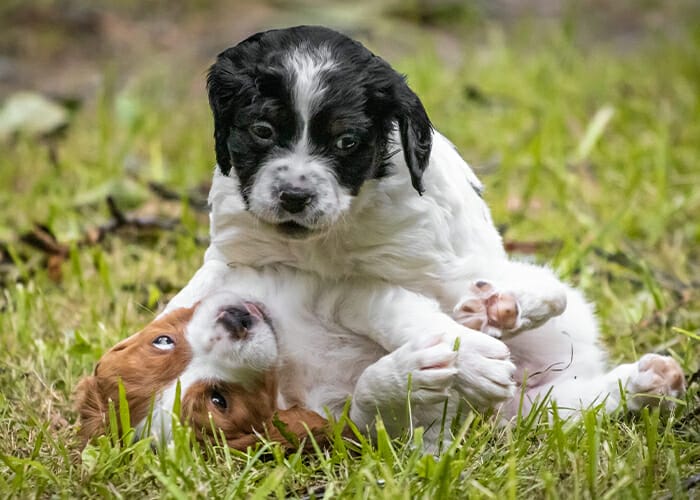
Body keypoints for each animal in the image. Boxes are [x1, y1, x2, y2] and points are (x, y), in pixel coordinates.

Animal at [163, 25, 684, 444]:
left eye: (347, 142)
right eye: (262, 130)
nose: (294, 196)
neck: (325, 239)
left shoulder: (411, 268)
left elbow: (424, 312)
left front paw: (472, 342)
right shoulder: (237, 255)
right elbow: (190, 299)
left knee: (546, 294)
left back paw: (507, 304)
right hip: (538, 406)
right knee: (563, 405)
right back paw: (646, 382)